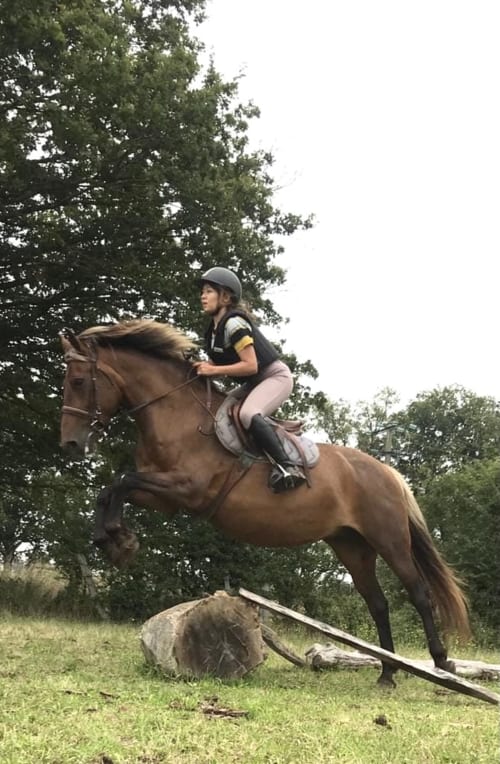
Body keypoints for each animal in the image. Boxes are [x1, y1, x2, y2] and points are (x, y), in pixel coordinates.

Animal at [59, 318, 470, 688]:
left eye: (77, 382)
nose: (71, 444)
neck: (176, 416)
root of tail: (386, 471)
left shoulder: (188, 488)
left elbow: (121, 481)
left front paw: (118, 540)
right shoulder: (164, 498)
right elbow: (112, 488)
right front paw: (114, 541)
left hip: (389, 539)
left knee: (419, 593)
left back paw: (441, 664)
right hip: (351, 545)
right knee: (378, 603)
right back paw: (387, 673)